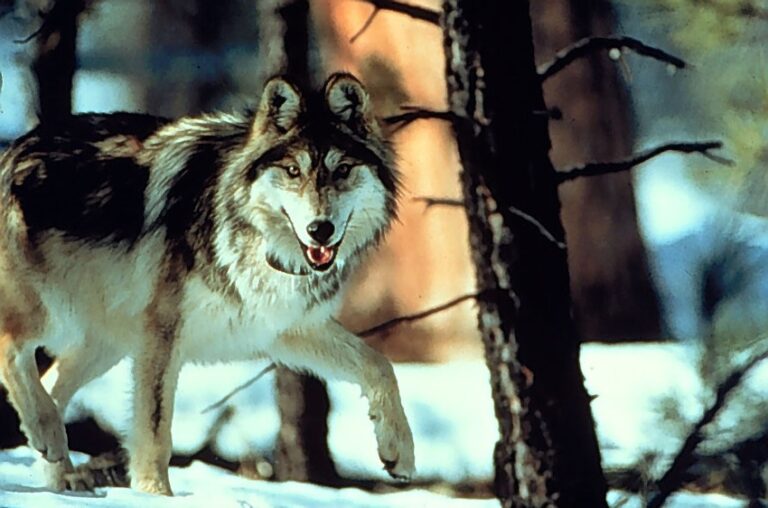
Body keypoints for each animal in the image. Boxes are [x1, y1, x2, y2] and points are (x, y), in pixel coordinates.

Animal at [0, 73, 414, 495]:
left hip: (107, 343)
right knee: (12, 351)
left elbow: (380, 365)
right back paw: (49, 438)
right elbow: (154, 433)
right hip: (50, 315)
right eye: (293, 171)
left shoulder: (285, 328)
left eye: (342, 169)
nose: (320, 229)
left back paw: (62, 473)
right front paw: (156, 495)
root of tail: (14, 148)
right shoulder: (162, 336)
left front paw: (399, 452)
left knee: (51, 384)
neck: (255, 238)